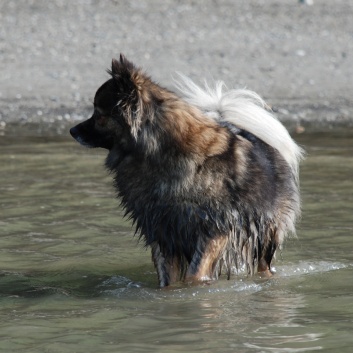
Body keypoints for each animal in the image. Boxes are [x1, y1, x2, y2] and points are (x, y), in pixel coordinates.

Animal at [69, 54, 302, 286]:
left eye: (99, 115)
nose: (72, 130)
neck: (158, 156)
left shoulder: (214, 229)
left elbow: (195, 273)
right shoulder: (162, 231)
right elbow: (168, 279)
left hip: (265, 234)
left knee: (264, 265)